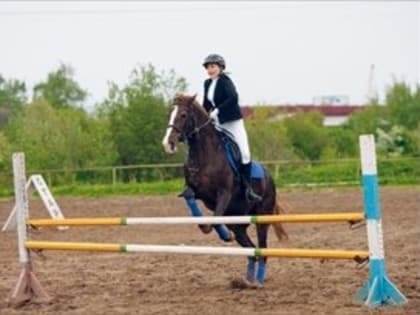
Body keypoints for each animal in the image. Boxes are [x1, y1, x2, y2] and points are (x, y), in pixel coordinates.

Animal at [161, 93, 286, 286]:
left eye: (183, 115)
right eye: (169, 113)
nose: (168, 144)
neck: (204, 154)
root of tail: (268, 176)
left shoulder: (224, 194)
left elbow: (213, 221)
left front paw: (225, 236)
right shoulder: (197, 192)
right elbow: (192, 199)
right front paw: (219, 232)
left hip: (262, 218)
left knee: (262, 250)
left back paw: (258, 282)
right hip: (238, 223)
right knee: (251, 250)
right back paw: (247, 282)